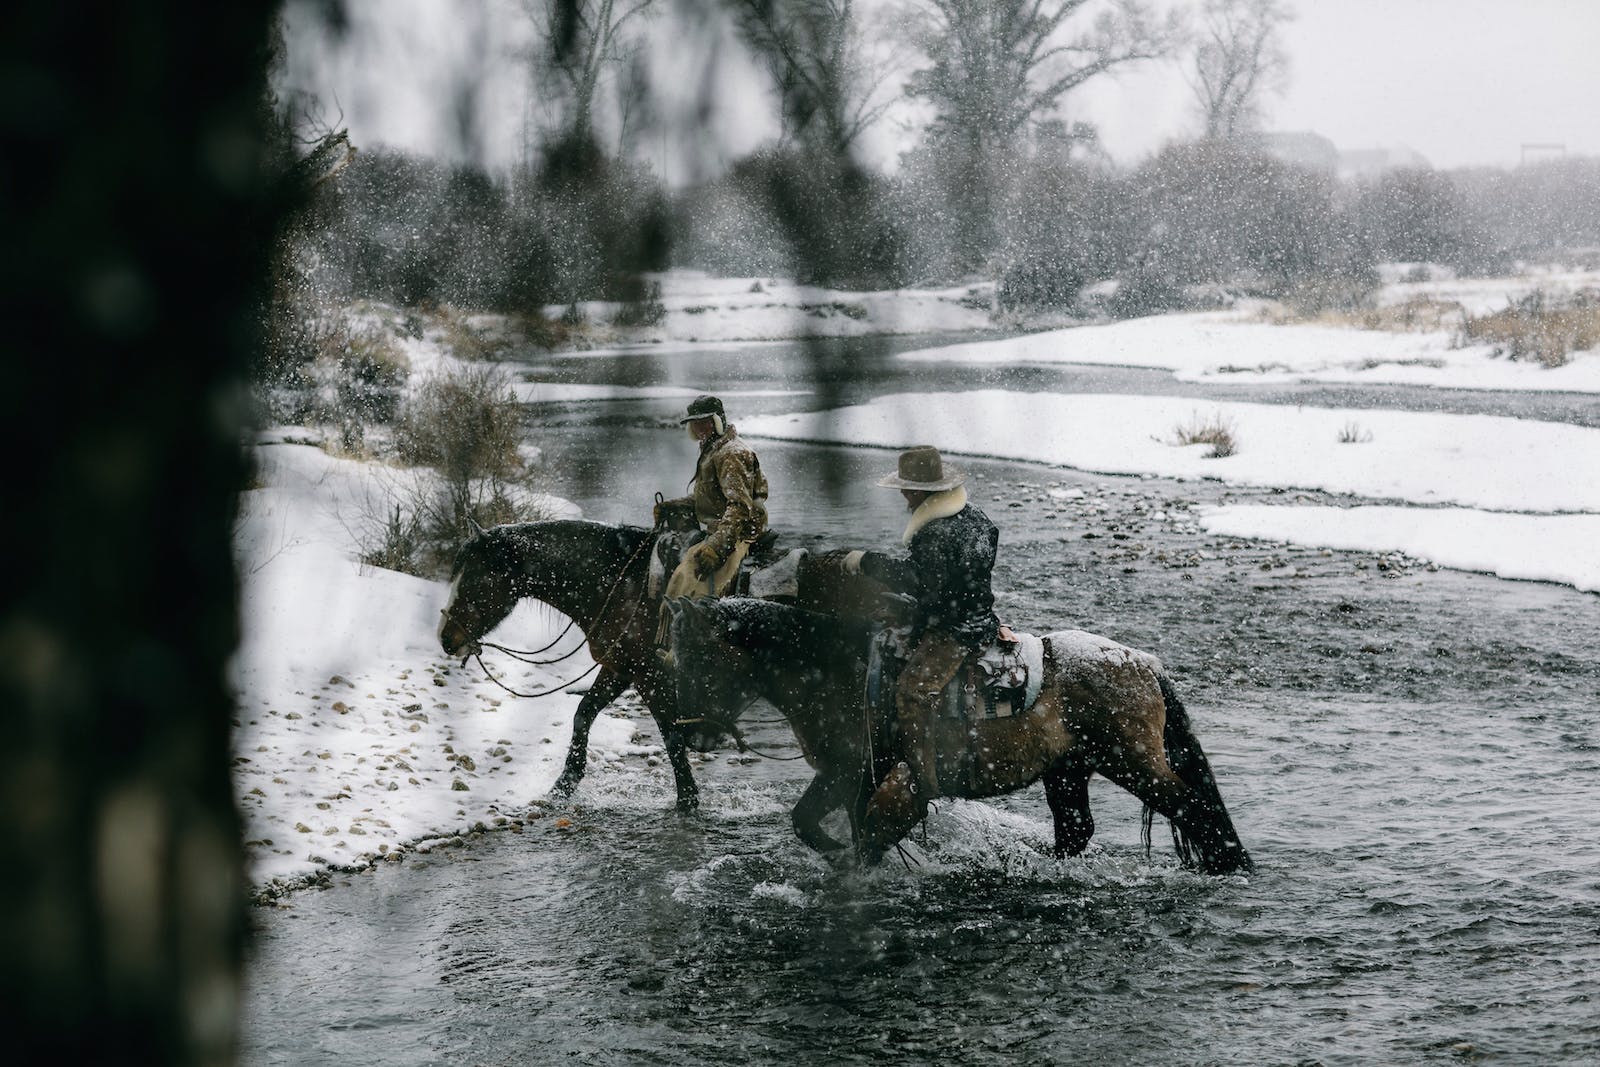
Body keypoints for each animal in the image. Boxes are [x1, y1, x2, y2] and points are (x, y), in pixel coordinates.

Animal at [668, 598, 1254, 870]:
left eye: (699, 657)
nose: (695, 738)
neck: (838, 671)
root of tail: (1143, 662)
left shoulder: (864, 774)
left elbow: (839, 828)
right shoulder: (851, 776)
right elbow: (826, 823)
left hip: (1132, 762)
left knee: (1194, 808)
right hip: (1069, 769)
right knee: (1076, 830)